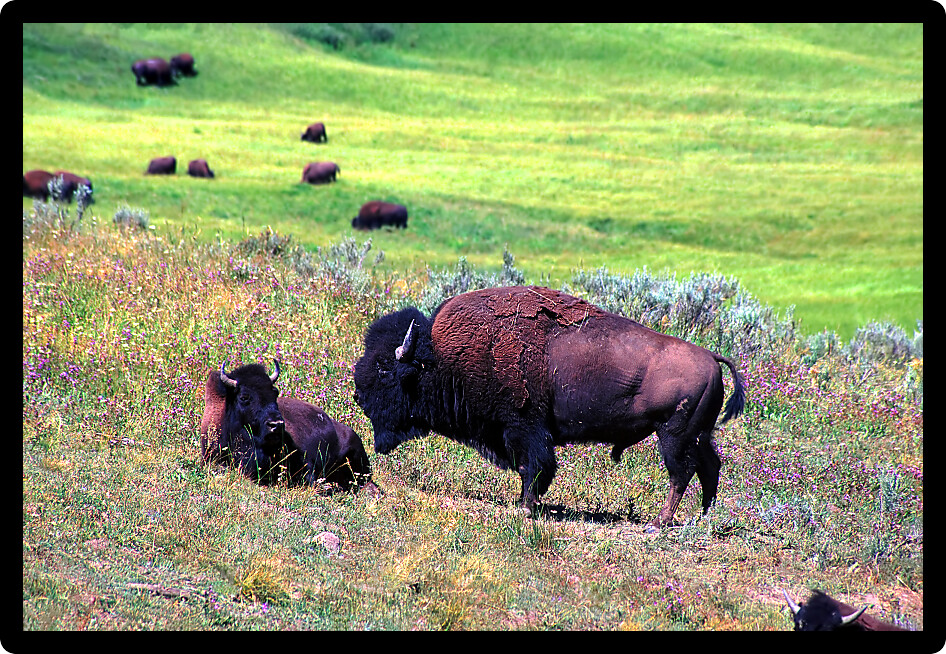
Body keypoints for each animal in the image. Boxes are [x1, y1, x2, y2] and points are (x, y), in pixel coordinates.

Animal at [354, 285, 745, 530]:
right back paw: (702, 518)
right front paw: (525, 503)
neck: (439, 358)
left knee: (681, 474)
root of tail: (711, 357)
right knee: (709, 469)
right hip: (700, 435)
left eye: (384, 369)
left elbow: (534, 467)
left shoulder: (523, 428)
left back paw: (659, 523)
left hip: (674, 436)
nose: (358, 395)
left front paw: (526, 507)